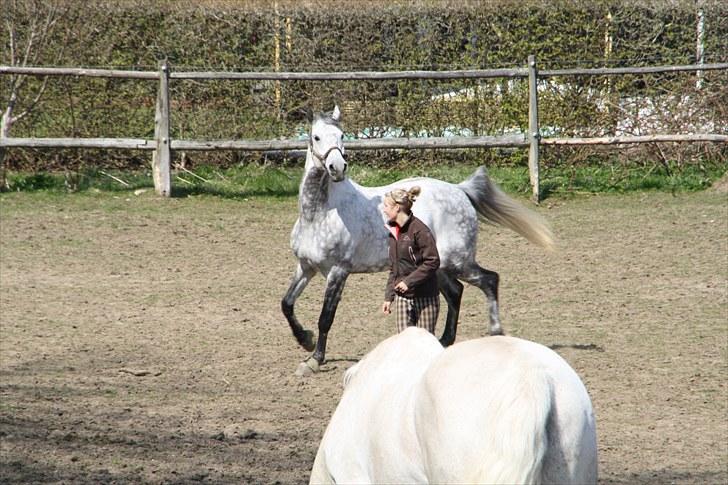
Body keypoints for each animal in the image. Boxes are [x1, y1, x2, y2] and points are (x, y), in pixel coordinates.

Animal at [282, 106, 556, 374]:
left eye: (341, 136)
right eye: (316, 137)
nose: (337, 168)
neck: (318, 214)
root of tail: (460, 191)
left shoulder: (338, 271)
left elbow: (326, 317)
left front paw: (314, 360)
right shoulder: (306, 267)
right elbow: (287, 303)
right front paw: (305, 340)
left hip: (458, 262)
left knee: (489, 280)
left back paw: (495, 332)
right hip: (438, 267)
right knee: (456, 292)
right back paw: (444, 341)